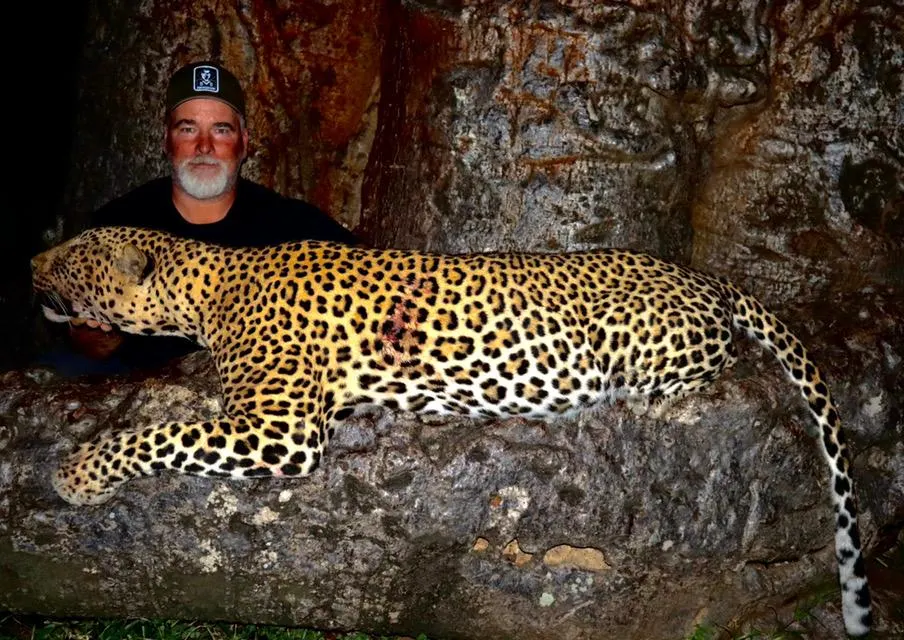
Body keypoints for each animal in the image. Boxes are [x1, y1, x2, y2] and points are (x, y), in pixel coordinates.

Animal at [31, 225, 871, 636]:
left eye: (72, 255)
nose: (32, 258)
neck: (209, 292)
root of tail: (705, 275)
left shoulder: (284, 424)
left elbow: (161, 434)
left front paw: (78, 473)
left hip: (646, 352)